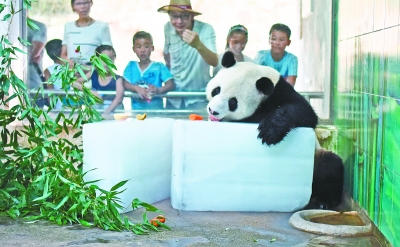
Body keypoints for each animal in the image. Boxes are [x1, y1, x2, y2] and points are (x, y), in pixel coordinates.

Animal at [206, 51, 344, 209]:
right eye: (216, 90)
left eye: (233, 102)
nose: (213, 111)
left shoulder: (281, 93)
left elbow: (304, 112)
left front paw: (269, 132)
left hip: (315, 158)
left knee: (329, 166)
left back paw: (325, 201)